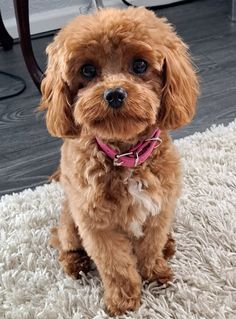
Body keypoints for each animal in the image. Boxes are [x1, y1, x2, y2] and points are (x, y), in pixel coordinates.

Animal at [39, 6, 198, 316]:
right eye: (87, 70)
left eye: (140, 65)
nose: (114, 93)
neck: (127, 155)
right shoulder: (97, 224)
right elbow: (116, 265)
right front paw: (123, 300)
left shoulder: (159, 210)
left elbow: (149, 247)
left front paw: (155, 272)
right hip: (70, 219)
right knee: (63, 242)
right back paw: (75, 263)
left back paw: (168, 245)